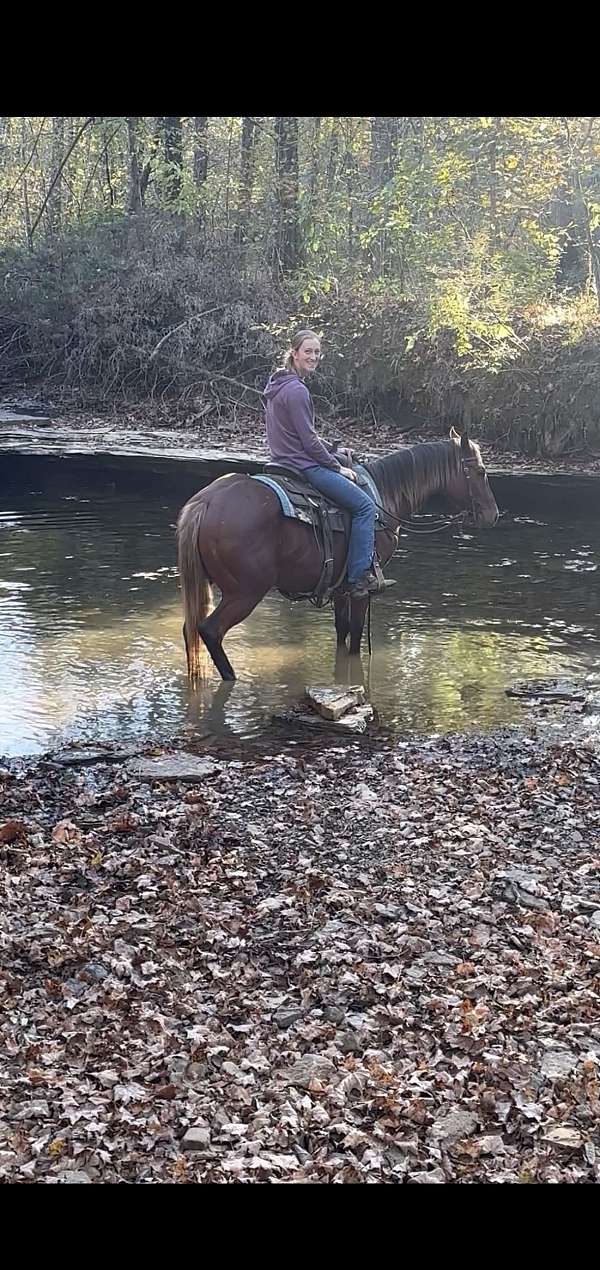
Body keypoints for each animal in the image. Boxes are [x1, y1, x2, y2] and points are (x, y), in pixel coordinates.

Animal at [176, 429, 495, 685]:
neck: (383, 500)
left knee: (191, 629)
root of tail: (206, 503)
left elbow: (341, 633)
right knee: (210, 630)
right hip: (245, 593)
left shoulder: (341, 587)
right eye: (480, 471)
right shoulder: (361, 590)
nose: (493, 515)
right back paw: (230, 677)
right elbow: (355, 636)